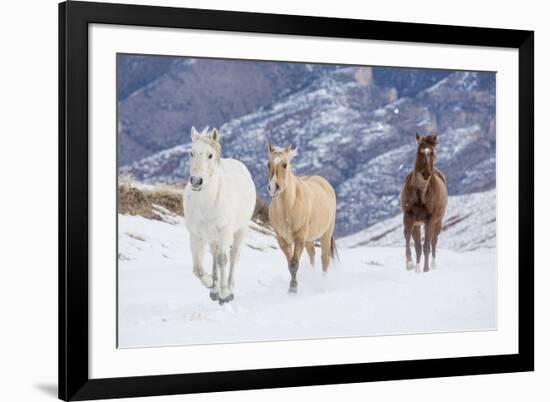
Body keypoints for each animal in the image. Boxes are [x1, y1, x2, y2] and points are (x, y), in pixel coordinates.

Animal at [183, 127, 256, 304]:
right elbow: (197, 268)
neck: (206, 203)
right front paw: (211, 283)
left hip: (239, 231)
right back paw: (214, 289)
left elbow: (223, 259)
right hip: (212, 237)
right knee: (214, 255)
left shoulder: (224, 232)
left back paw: (229, 287)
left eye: (210, 155)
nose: (196, 181)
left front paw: (225, 294)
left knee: (233, 256)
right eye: (191, 153)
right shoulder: (196, 235)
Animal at [266, 144, 338, 292]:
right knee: (312, 254)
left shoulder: (299, 238)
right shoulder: (283, 240)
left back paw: (323, 283)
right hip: (309, 239)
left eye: (285, 164)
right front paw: (292, 287)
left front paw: (293, 289)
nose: (273, 187)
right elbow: (290, 264)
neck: (289, 207)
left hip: (326, 233)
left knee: (324, 258)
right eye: (268, 164)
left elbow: (294, 264)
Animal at [402, 133, 448, 272]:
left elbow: (427, 245)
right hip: (417, 224)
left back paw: (432, 264)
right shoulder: (408, 216)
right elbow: (407, 236)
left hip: (438, 221)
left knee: (433, 241)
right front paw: (410, 263)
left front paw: (426, 269)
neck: (420, 194)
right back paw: (417, 268)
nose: (426, 174)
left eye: (432, 152)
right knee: (417, 245)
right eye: (419, 151)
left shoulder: (430, 219)